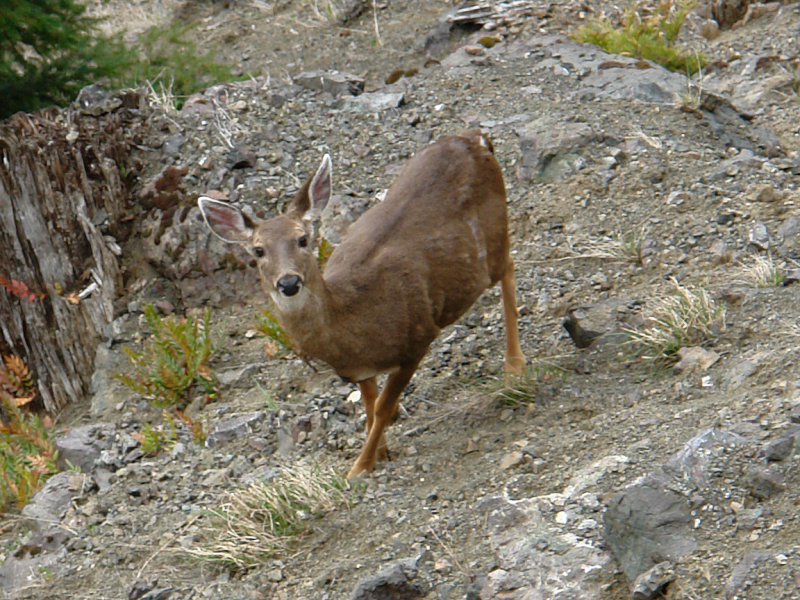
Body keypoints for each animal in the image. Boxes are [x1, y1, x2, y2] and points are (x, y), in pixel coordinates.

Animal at [198, 131, 524, 478]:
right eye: (258, 251)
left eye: (303, 239)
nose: (288, 283)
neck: (356, 319)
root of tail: (474, 138)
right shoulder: (360, 370)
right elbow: (369, 408)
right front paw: (380, 452)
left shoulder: (418, 336)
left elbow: (382, 408)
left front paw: (360, 466)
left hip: (494, 234)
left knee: (509, 267)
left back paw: (515, 365)